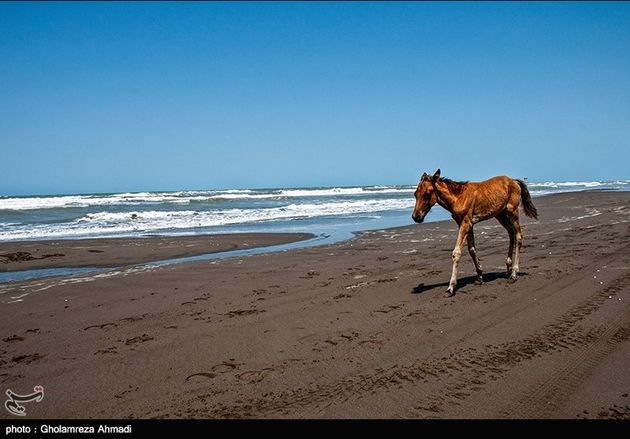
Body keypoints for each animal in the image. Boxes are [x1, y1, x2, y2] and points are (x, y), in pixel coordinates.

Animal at [412, 170, 540, 298]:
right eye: (415, 194)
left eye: (427, 194)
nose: (415, 217)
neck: (458, 197)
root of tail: (514, 181)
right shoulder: (466, 224)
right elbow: (472, 250)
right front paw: (479, 277)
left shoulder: (466, 223)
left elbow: (456, 252)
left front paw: (451, 287)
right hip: (500, 214)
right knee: (510, 232)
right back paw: (508, 267)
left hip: (512, 211)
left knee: (518, 236)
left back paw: (514, 273)